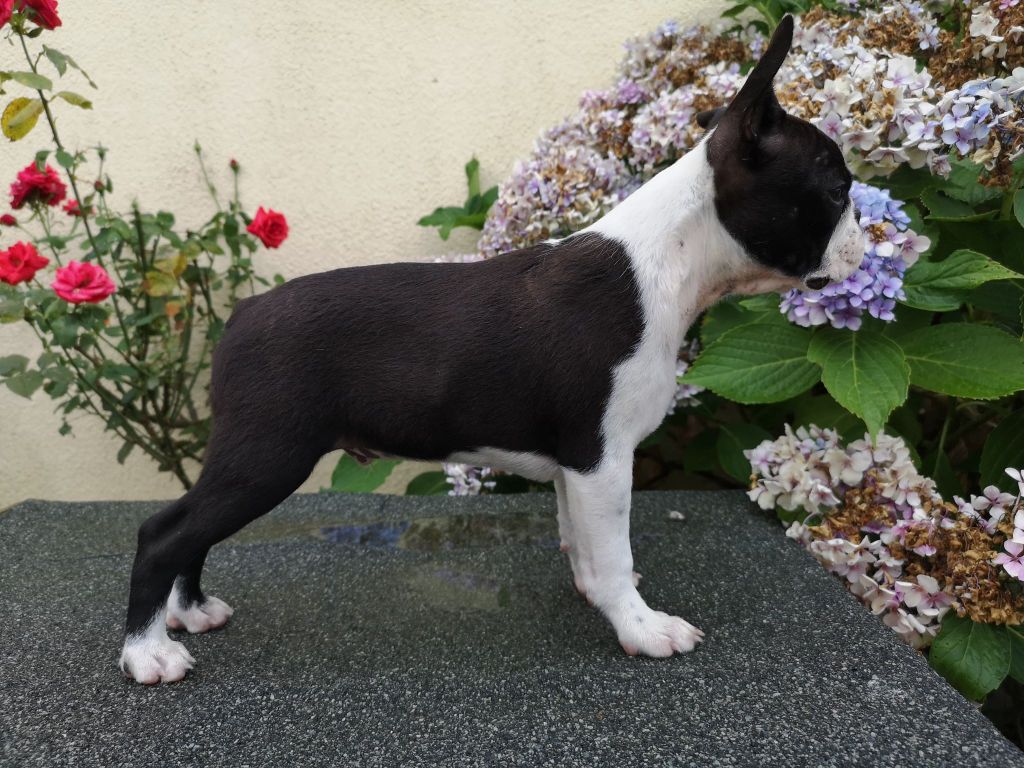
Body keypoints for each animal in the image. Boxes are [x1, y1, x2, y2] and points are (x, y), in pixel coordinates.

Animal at [123, 15, 868, 684]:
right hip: (271, 451)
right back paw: (148, 654)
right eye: (837, 192)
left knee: (194, 527)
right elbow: (614, 550)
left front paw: (597, 596)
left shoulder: (578, 466)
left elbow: (585, 542)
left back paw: (189, 612)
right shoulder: (601, 454)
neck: (672, 262)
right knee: (165, 532)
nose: (869, 241)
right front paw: (641, 626)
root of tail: (244, 313)